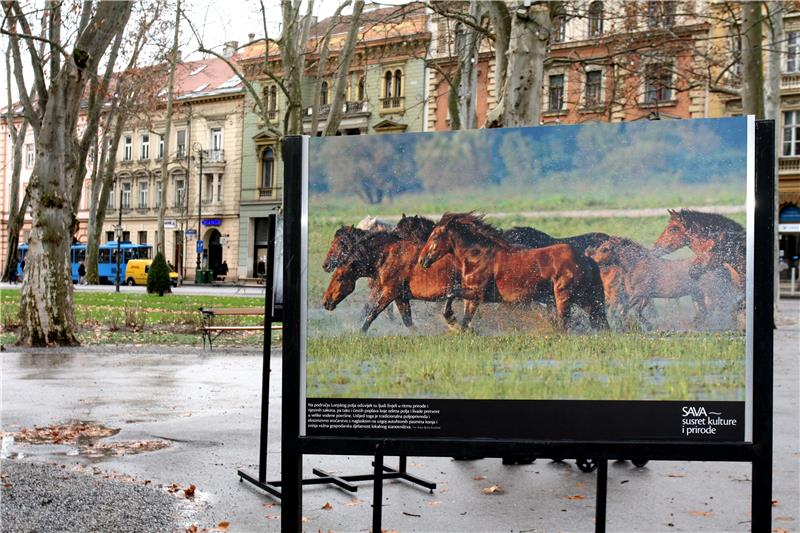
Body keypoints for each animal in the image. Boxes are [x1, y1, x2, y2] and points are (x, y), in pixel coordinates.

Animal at [324, 230, 462, 332]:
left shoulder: (389, 293)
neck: (387, 257)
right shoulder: (401, 297)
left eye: (339, 278)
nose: (326, 301)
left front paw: (359, 334)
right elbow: (408, 321)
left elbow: (371, 314)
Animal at [416, 213, 608, 330]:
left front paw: (451, 320)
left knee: (565, 323)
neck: (478, 257)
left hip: (563, 296)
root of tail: (585, 259)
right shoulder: (472, 297)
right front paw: (460, 328)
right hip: (585, 298)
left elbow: (451, 294)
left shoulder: (477, 293)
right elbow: (465, 317)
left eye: (434, 236)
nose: (422, 260)